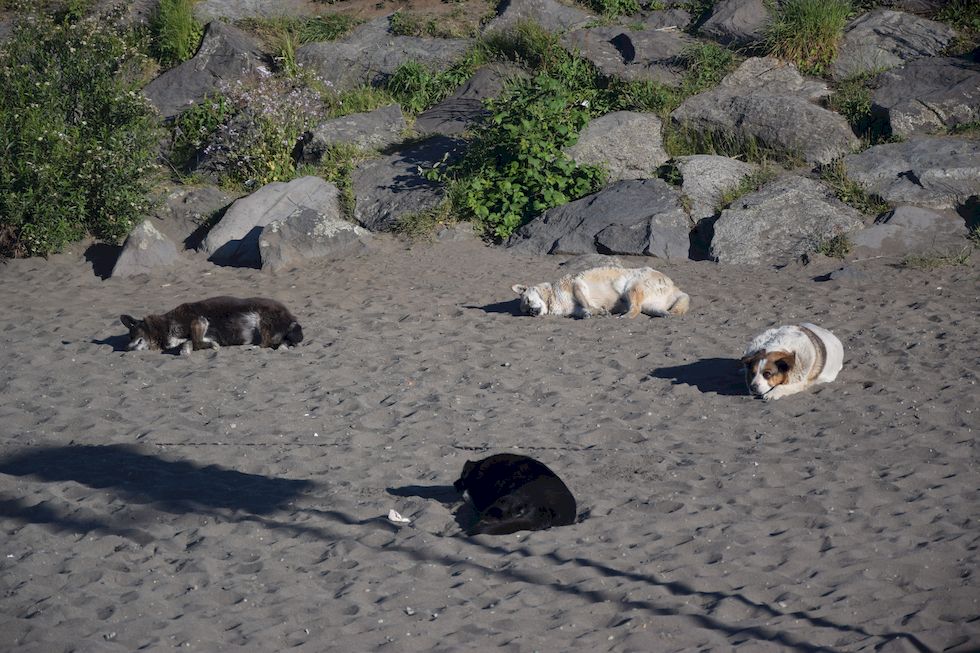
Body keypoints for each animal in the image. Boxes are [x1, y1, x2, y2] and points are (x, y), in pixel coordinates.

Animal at [120, 296, 302, 354]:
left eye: (132, 334)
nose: (126, 348)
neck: (164, 325)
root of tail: (291, 317)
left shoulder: (199, 320)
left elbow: (196, 340)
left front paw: (211, 346)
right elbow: (189, 343)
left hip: (262, 318)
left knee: (267, 342)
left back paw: (256, 347)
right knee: (282, 341)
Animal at [512, 264, 688, 318]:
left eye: (528, 301)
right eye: (525, 311)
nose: (531, 312)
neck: (552, 298)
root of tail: (675, 288)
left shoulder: (577, 285)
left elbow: (586, 304)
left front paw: (599, 311)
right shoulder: (574, 309)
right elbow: (583, 311)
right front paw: (593, 313)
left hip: (632, 287)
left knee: (635, 309)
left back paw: (624, 316)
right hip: (650, 305)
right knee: (654, 310)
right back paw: (665, 314)